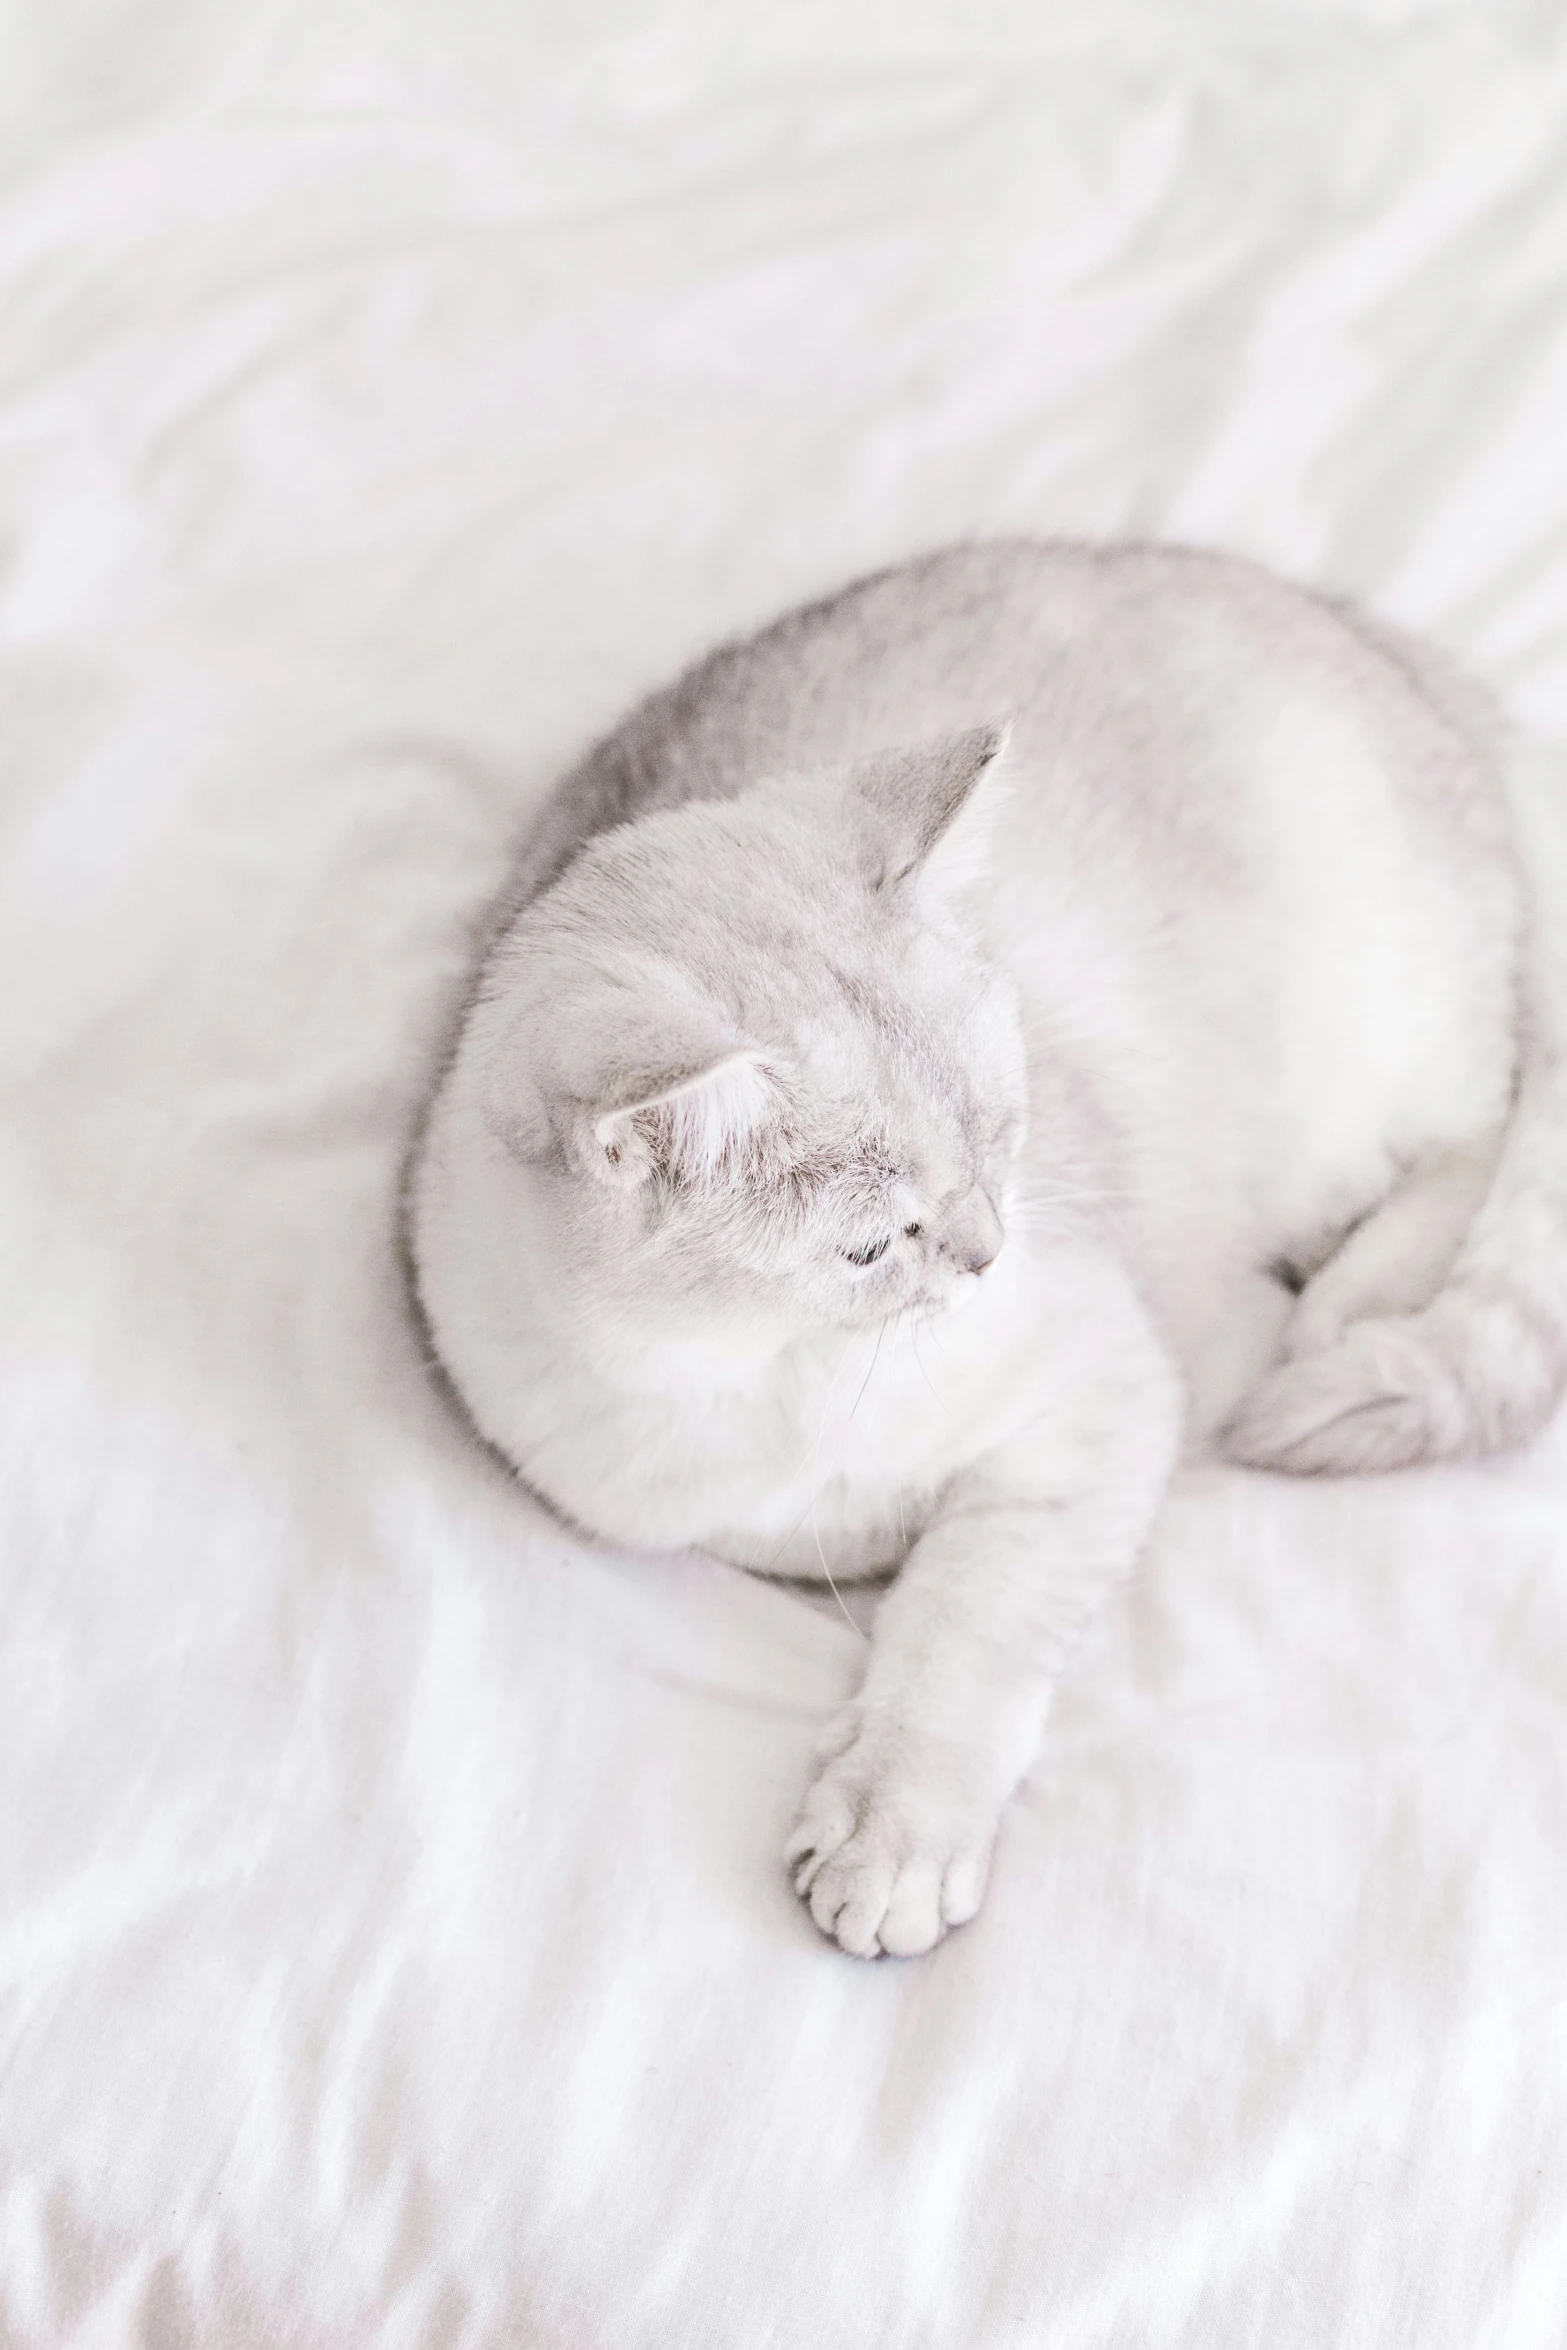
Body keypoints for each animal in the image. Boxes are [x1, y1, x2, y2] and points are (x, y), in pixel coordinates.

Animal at [408, 540, 1567, 1955]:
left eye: (998, 1134)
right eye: (872, 1246)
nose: (985, 1253)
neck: (754, 1382)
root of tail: (1366, 634)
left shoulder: (1096, 1404)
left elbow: (962, 1620)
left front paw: (892, 1828)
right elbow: (833, 1545)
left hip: (1372, 1071)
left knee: (1478, 1135)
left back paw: (1348, 1303)